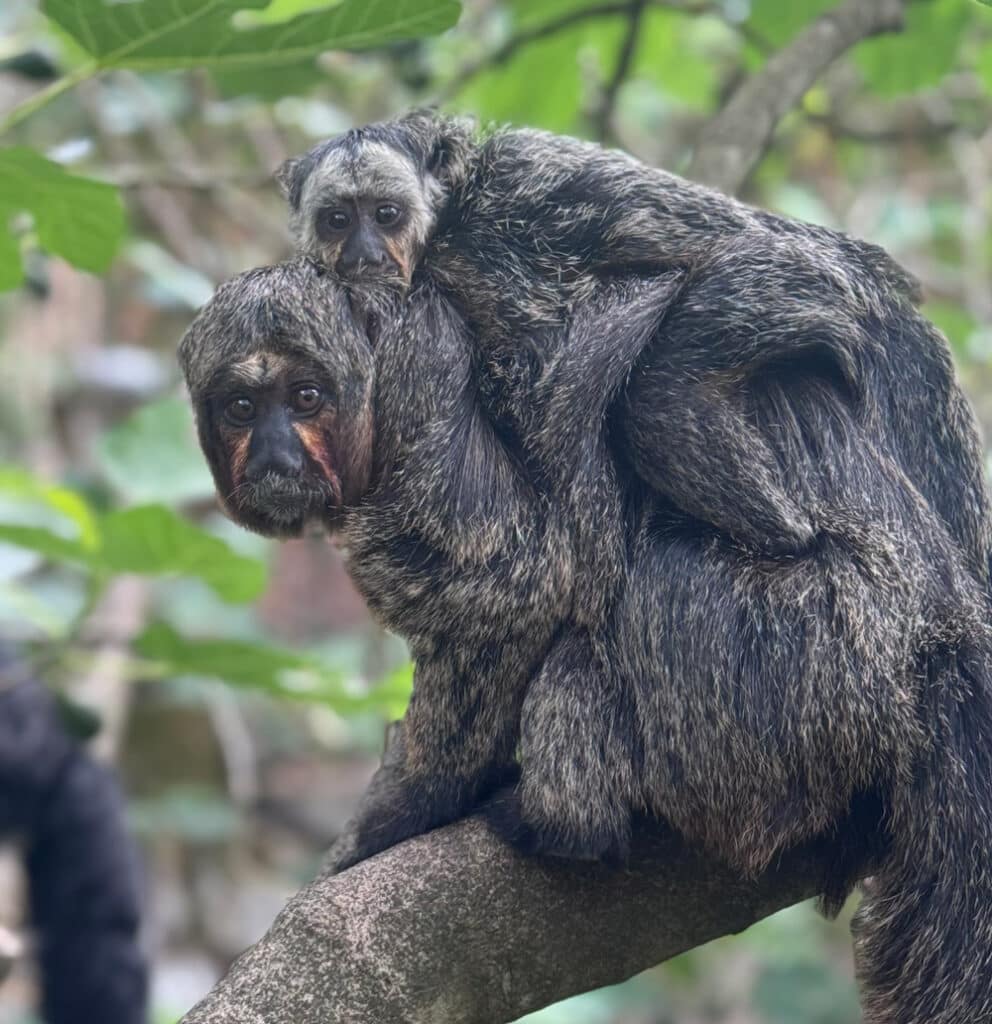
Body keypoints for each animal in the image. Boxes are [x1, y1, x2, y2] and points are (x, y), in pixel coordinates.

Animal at [179, 249, 992, 1023]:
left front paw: (416, 804)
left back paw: (563, 821)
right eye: (242, 408)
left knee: (645, 587)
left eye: (306, 398)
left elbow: (521, 582)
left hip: (815, 648)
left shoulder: (421, 384)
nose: (276, 453)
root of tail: (937, 642)